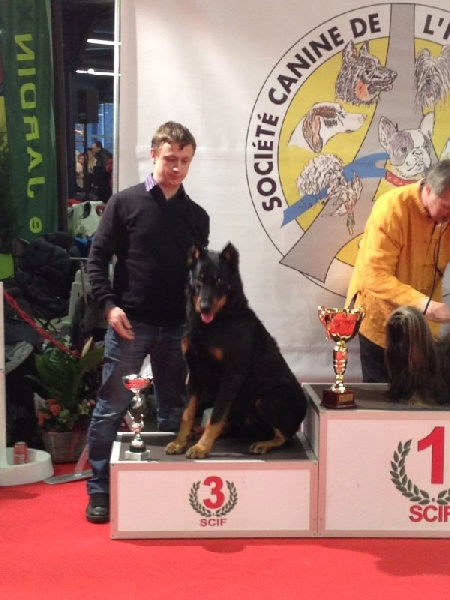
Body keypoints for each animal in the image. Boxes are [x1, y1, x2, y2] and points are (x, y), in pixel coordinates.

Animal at [165, 243, 308, 459]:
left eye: (219, 280)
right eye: (199, 279)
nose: (204, 308)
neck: (214, 324)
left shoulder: (231, 376)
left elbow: (215, 417)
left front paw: (201, 447)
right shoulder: (195, 372)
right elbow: (187, 413)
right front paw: (179, 442)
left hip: (267, 397)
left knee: (284, 436)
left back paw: (263, 444)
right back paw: (196, 433)